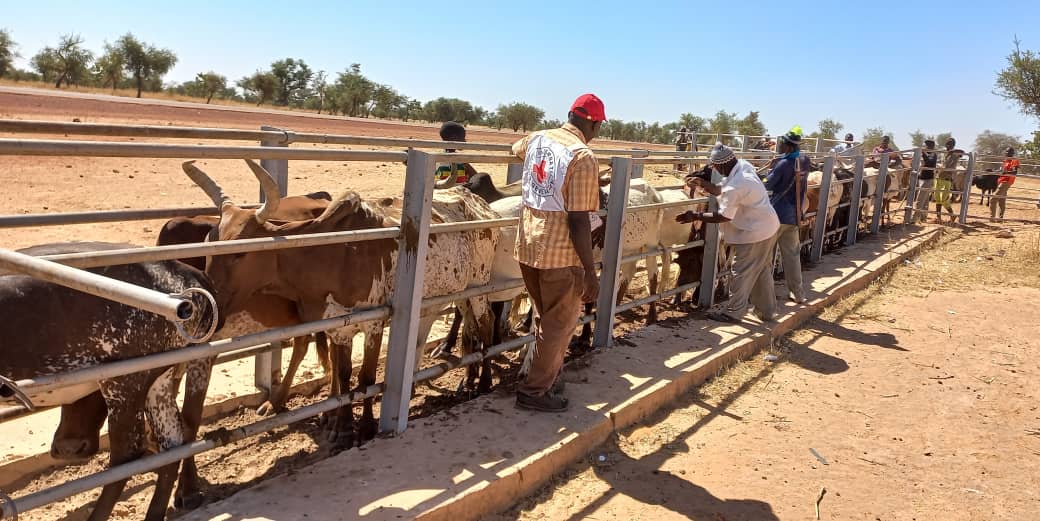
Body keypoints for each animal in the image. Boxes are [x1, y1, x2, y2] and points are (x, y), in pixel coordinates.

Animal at [183, 159, 499, 447]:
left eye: (240, 252)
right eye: (209, 243)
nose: (205, 309)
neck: (333, 251)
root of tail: (479, 204)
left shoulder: (373, 323)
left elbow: (366, 377)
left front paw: (366, 427)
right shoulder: (338, 326)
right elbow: (344, 374)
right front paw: (342, 428)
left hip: (479, 285)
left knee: (486, 325)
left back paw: (483, 382)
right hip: (458, 293)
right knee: (469, 328)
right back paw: (467, 379)